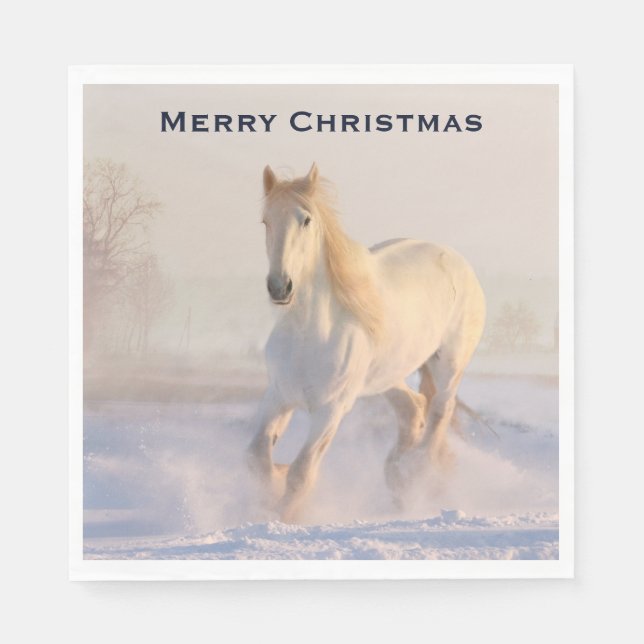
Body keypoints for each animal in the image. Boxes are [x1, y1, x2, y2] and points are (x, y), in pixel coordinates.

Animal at [247, 163, 486, 522]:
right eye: (266, 221)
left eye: (306, 220)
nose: (280, 287)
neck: (309, 333)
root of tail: (459, 262)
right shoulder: (278, 396)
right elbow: (258, 457)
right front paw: (273, 485)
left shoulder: (331, 409)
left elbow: (301, 472)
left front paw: (285, 516)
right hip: (386, 376)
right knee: (413, 408)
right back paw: (398, 477)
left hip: (449, 365)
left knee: (439, 412)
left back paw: (416, 474)